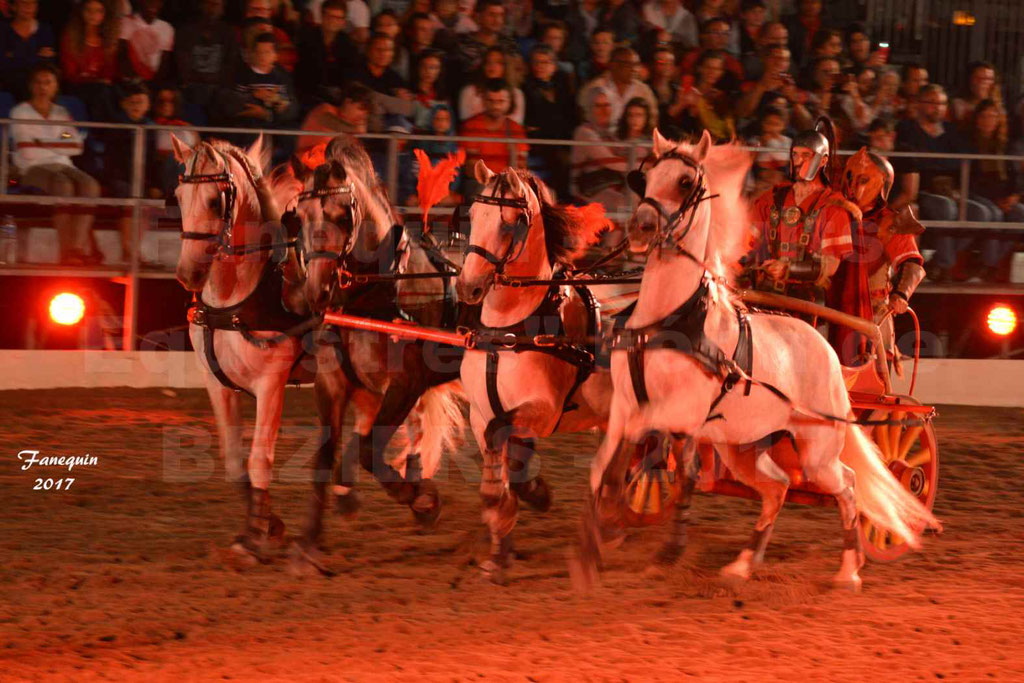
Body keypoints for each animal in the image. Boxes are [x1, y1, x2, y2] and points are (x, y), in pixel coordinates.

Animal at [172, 136, 311, 565]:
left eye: (216, 201)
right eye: (178, 196)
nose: (187, 274)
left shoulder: (272, 384)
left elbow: (259, 459)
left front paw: (254, 539)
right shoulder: (216, 383)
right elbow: (235, 463)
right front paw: (268, 526)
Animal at [581, 131, 937, 589]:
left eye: (684, 181)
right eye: (647, 177)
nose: (641, 226)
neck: (671, 317)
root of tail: (828, 354)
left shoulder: (681, 413)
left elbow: (675, 469)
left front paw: (655, 547)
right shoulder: (628, 406)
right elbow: (607, 465)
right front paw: (599, 538)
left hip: (818, 450)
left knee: (849, 485)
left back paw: (849, 569)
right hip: (743, 445)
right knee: (778, 488)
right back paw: (744, 563)